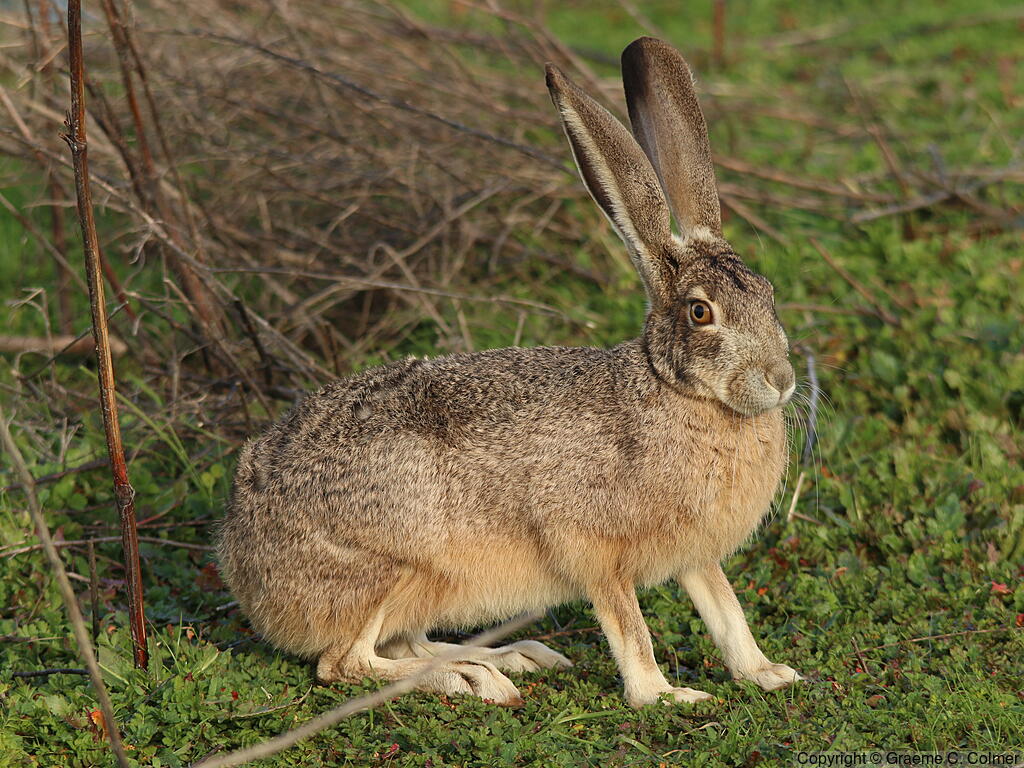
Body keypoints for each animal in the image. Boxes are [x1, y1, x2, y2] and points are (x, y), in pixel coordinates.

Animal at [217, 36, 802, 709]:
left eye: (768, 295)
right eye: (701, 313)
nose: (781, 379)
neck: (676, 391)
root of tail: (240, 553)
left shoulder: (694, 554)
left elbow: (726, 612)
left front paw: (767, 672)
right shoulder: (592, 546)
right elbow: (630, 626)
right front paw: (665, 696)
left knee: (403, 643)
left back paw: (514, 656)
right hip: (392, 566)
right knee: (346, 662)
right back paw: (473, 677)